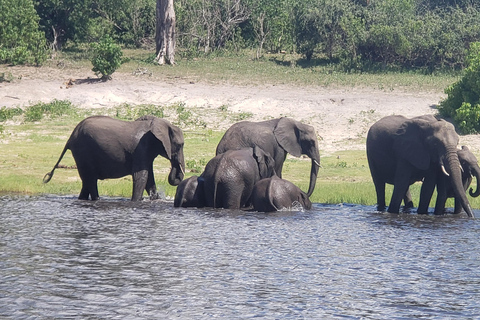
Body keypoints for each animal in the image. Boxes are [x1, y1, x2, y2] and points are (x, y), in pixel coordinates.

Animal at [43, 115, 186, 200]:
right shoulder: (141, 148)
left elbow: (149, 178)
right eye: (180, 145)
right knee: (91, 180)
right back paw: (96, 200)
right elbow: (141, 176)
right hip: (83, 150)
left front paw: (155, 199)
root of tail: (71, 136)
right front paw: (136, 201)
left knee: (86, 180)